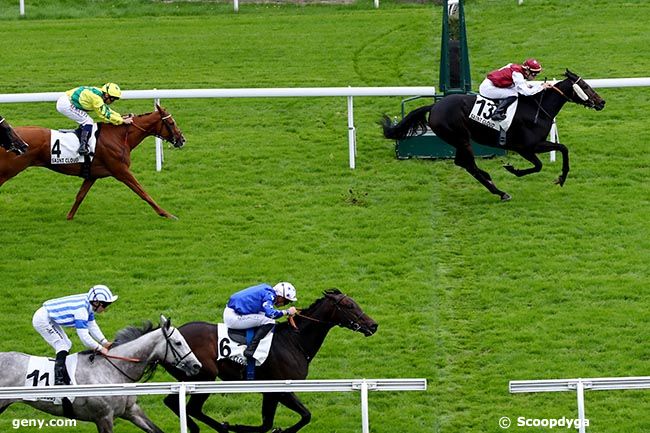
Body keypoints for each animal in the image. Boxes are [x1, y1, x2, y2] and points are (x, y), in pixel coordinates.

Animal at [1, 104, 185, 219]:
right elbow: (143, 192)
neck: (118, 137)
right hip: (8, 170)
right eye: (171, 122)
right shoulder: (121, 171)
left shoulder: (92, 175)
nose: (182, 139)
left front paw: (69, 217)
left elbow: (80, 196)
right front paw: (167, 214)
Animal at [161, 288, 380, 433]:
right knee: (191, 407)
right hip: (204, 377)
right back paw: (220, 427)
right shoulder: (280, 389)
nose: (373, 325)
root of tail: (165, 336)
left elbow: (268, 423)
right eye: (348, 305)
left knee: (173, 402)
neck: (294, 341)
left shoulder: (270, 391)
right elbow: (305, 416)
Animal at [382, 69, 604, 201]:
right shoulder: (526, 146)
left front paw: (560, 178)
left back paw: (489, 180)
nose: (602, 102)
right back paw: (499, 191)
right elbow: (544, 162)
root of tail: (435, 106)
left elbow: (560, 151)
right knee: (468, 164)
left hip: (459, 140)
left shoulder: (532, 146)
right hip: (461, 138)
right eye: (585, 86)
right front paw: (515, 169)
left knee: (463, 163)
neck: (537, 109)